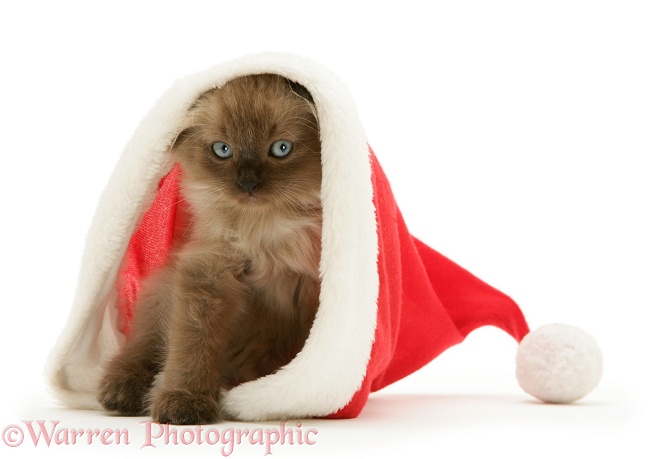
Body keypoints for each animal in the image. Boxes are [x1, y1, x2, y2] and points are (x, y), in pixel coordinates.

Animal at [97, 74, 324, 424]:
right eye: (223, 150)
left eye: (281, 149)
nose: (247, 184)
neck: (265, 231)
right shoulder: (207, 276)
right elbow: (192, 348)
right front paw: (184, 401)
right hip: (161, 290)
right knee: (141, 350)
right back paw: (123, 391)